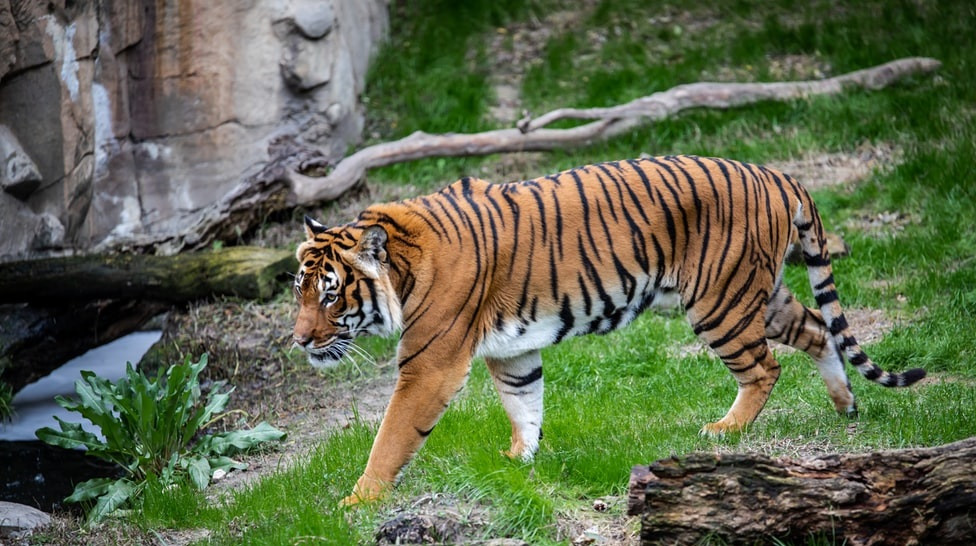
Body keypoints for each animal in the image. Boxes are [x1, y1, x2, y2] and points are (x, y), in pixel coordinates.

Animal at [292, 155, 925, 505]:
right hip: (759, 294)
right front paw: (519, 460)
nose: (299, 340)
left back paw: (726, 430)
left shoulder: (430, 364)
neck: (400, 266)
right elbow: (524, 404)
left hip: (717, 301)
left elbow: (391, 437)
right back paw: (845, 406)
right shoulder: (510, 352)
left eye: (330, 293)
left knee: (765, 366)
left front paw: (357, 502)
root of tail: (774, 173)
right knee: (818, 328)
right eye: (298, 289)